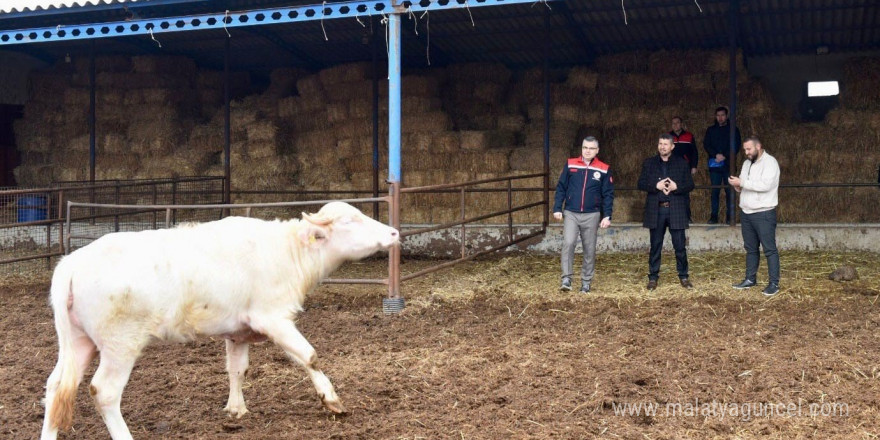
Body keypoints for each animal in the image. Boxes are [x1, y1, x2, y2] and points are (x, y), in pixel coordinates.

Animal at [40, 201, 398, 438]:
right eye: (350, 220)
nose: (394, 232)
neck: (286, 252)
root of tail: (72, 263)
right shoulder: (273, 318)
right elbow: (309, 356)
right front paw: (331, 400)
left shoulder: (237, 332)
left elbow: (237, 369)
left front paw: (236, 409)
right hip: (119, 345)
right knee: (104, 391)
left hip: (78, 342)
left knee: (56, 387)